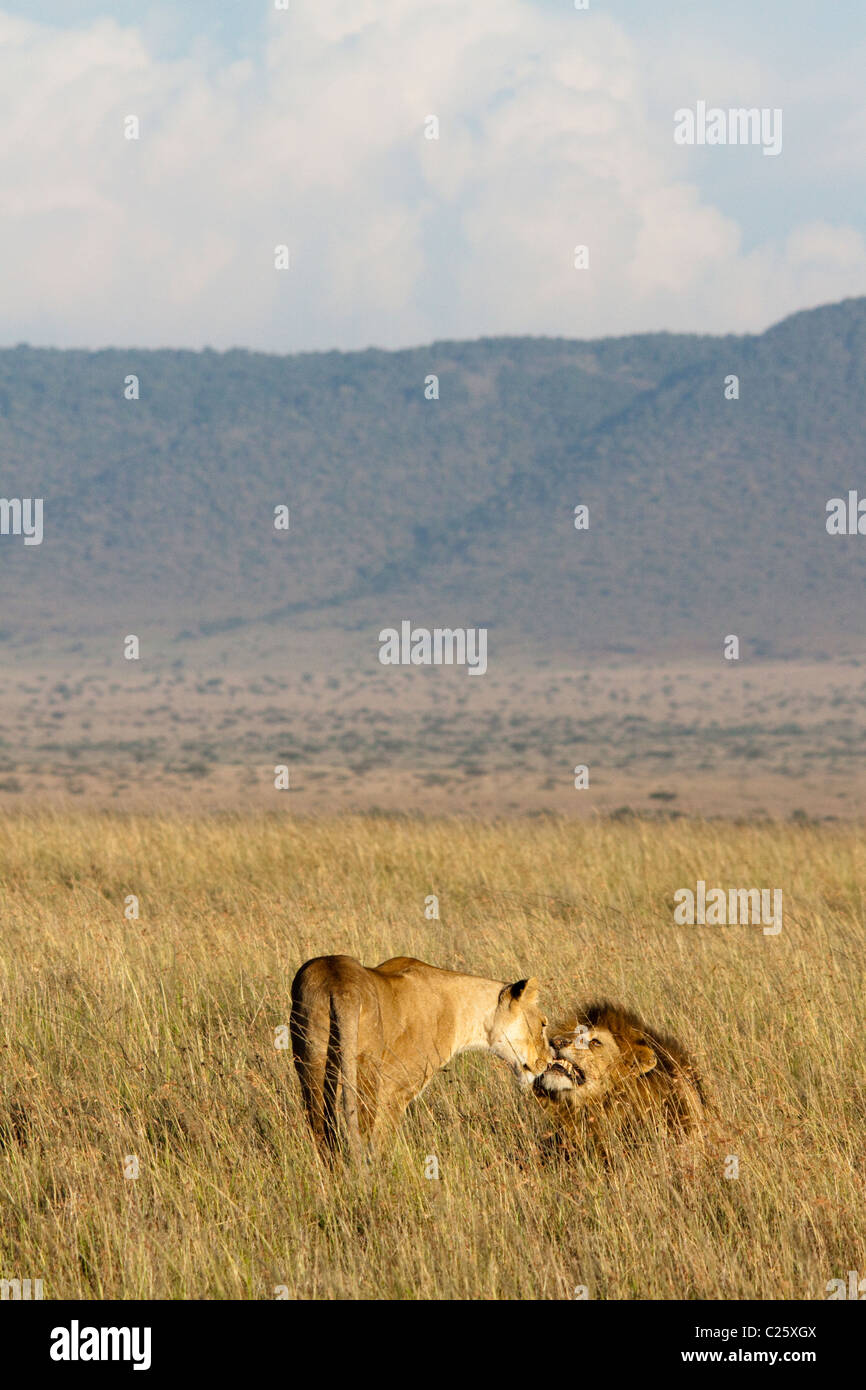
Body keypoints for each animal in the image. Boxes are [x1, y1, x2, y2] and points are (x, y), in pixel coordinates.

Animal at [291, 954, 552, 1159]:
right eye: (543, 1024)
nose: (549, 1062)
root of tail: (340, 987)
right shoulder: (395, 1090)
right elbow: (380, 1143)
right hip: (366, 1072)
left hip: (311, 1063)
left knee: (320, 1130)